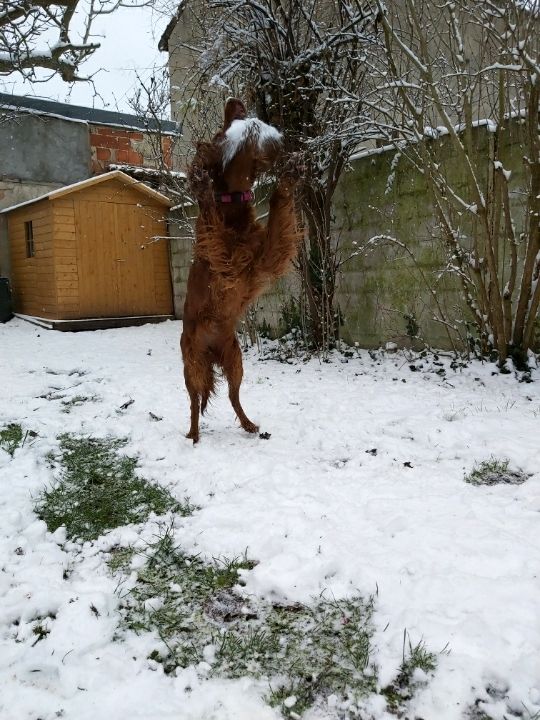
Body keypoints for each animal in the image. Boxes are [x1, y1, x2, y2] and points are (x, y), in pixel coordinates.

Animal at [180, 98, 300, 442]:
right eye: (222, 135)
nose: (235, 103)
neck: (233, 205)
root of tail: (212, 352)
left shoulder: (266, 257)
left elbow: (278, 210)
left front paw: (288, 178)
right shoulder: (225, 260)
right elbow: (211, 221)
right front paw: (203, 187)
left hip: (235, 359)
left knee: (233, 397)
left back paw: (249, 425)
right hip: (193, 363)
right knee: (194, 402)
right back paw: (194, 435)